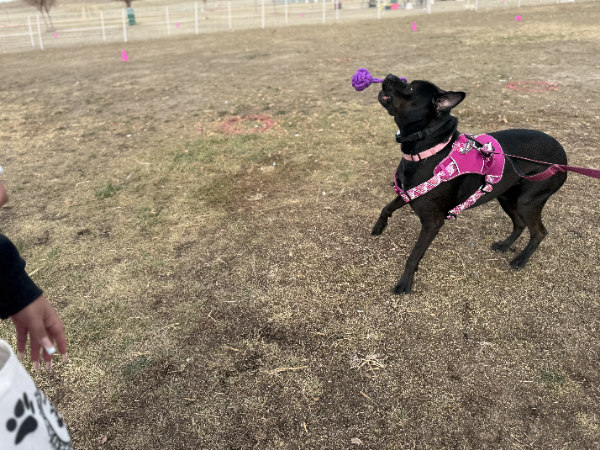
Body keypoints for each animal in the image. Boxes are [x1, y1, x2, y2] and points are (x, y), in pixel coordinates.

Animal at [376, 74, 568, 296]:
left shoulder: (432, 223)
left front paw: (405, 283)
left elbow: (414, 256)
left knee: (539, 232)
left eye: (410, 88)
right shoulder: (409, 193)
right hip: (506, 197)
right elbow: (386, 207)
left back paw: (520, 260)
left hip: (527, 202)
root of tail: (563, 156)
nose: (389, 76)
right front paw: (378, 227)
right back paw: (504, 245)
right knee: (519, 224)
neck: (428, 151)